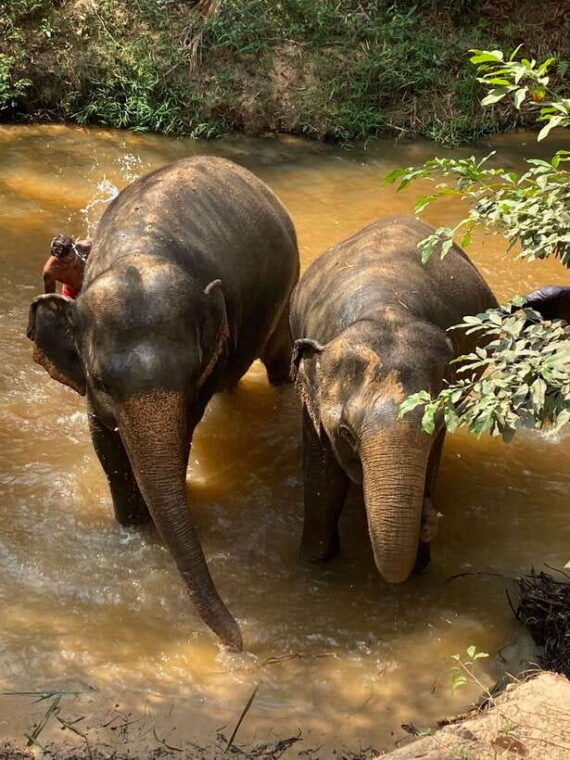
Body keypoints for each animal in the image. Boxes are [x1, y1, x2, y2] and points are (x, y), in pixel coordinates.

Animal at [27, 156, 300, 651]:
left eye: (189, 378)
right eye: (101, 382)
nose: (238, 643)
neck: (141, 253)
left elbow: (186, 429)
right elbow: (102, 439)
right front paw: (133, 528)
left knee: (274, 363)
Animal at [290, 216, 497, 584]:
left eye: (437, 424)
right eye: (346, 433)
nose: (429, 515)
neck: (386, 309)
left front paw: (420, 567)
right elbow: (322, 473)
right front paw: (315, 560)